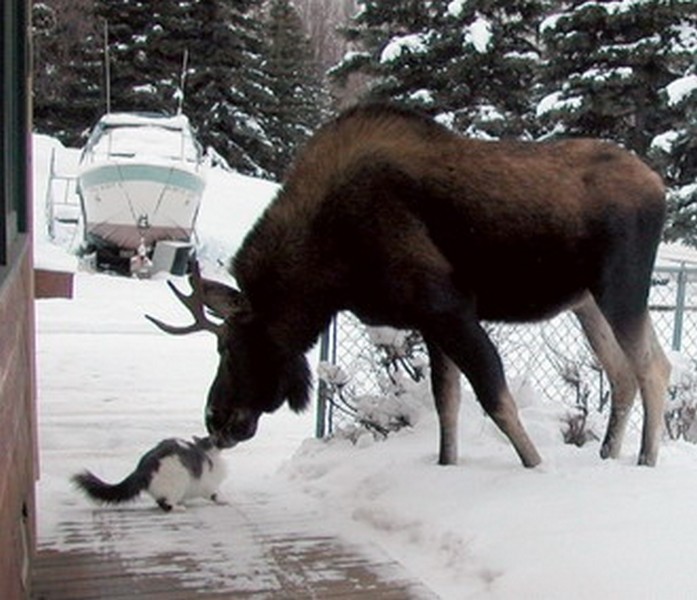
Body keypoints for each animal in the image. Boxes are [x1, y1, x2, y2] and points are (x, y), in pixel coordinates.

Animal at [72, 434, 228, 512]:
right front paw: (224, 500)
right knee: (164, 503)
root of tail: (142, 468)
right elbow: (215, 495)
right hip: (176, 483)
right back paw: (178, 508)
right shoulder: (208, 485)